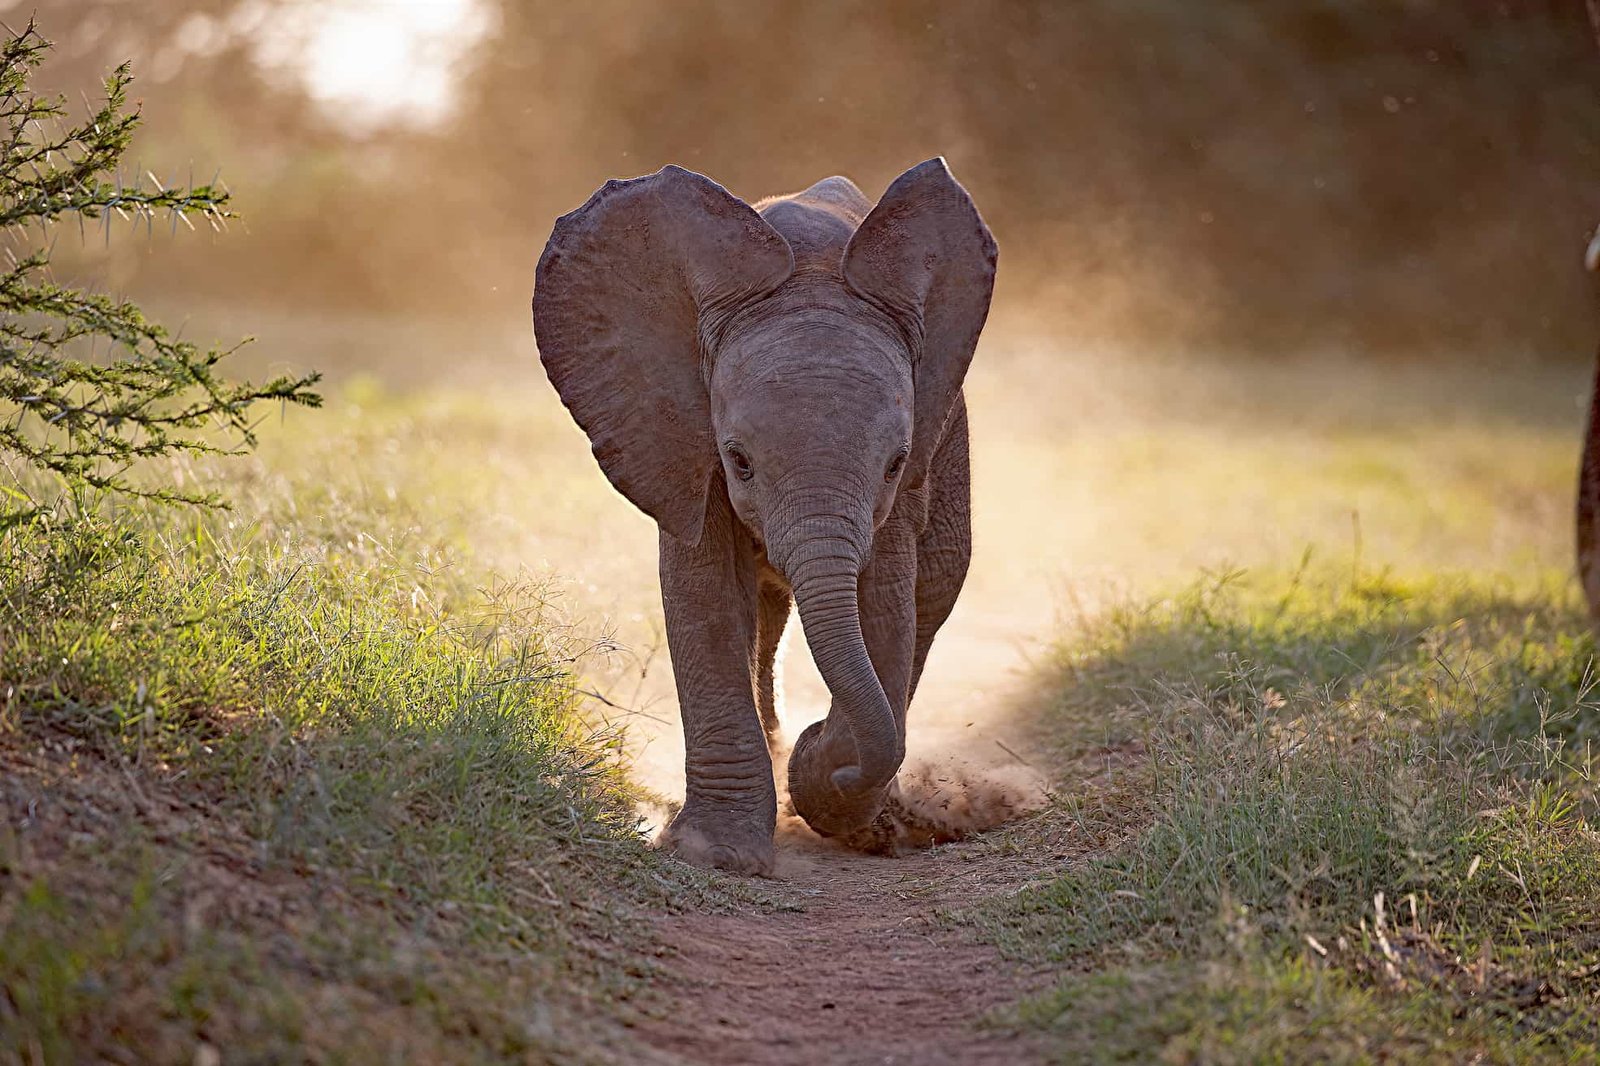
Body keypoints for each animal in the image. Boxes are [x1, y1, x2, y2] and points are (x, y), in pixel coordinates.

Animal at [532, 158, 996, 875]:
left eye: (895, 463)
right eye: (739, 460)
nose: (821, 747)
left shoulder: (907, 472)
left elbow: (886, 604)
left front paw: (828, 792)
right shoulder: (678, 439)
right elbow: (706, 595)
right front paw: (716, 853)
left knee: (932, 592)